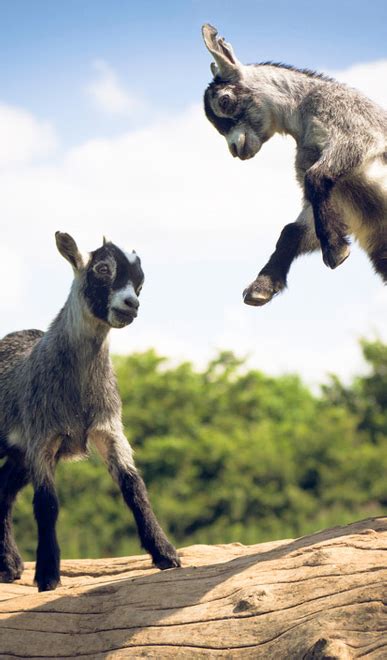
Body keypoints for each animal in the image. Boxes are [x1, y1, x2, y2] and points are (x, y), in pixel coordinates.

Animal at [0, 233, 181, 592]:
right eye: (102, 269)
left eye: (140, 282)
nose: (131, 304)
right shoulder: (43, 438)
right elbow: (47, 504)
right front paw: (48, 575)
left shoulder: (108, 429)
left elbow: (134, 487)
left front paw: (165, 553)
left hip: (19, 453)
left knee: (1, 489)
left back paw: (9, 565)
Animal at [203, 23, 387, 306]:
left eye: (224, 101)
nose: (235, 149)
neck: (302, 109)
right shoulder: (338, 202)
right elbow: (291, 230)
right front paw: (261, 287)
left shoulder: (353, 127)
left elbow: (316, 176)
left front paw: (335, 251)